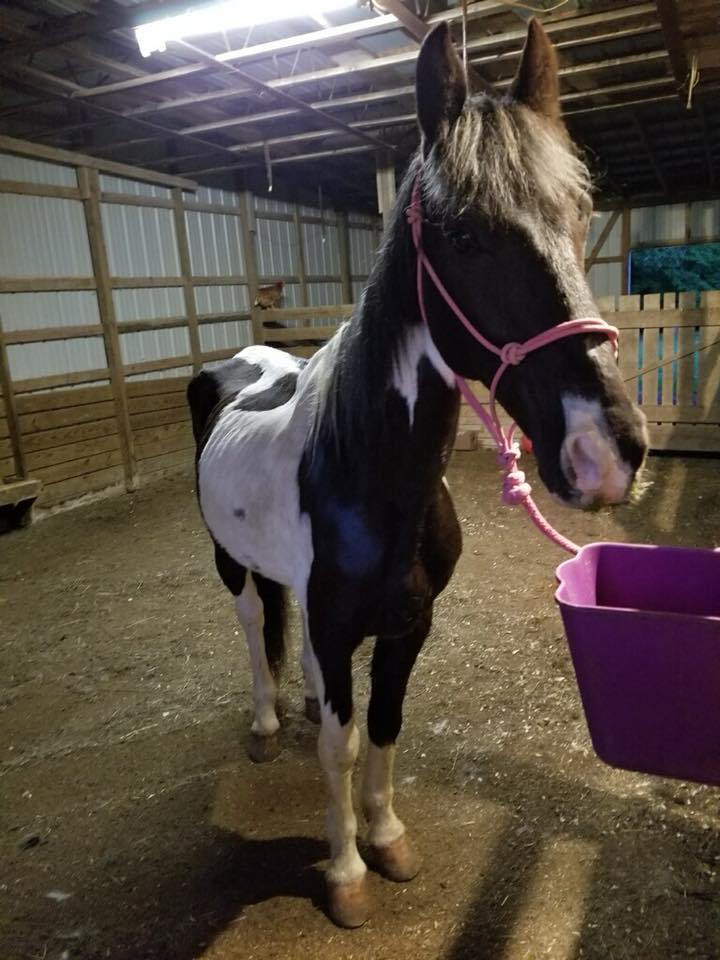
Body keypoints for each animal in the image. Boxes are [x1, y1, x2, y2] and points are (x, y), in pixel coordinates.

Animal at [187, 19, 648, 928]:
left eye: (580, 215)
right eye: (463, 234)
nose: (610, 452)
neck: (364, 476)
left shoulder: (411, 623)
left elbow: (387, 723)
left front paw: (387, 838)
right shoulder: (339, 627)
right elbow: (341, 743)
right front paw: (344, 874)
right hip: (228, 564)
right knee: (252, 626)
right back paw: (265, 723)